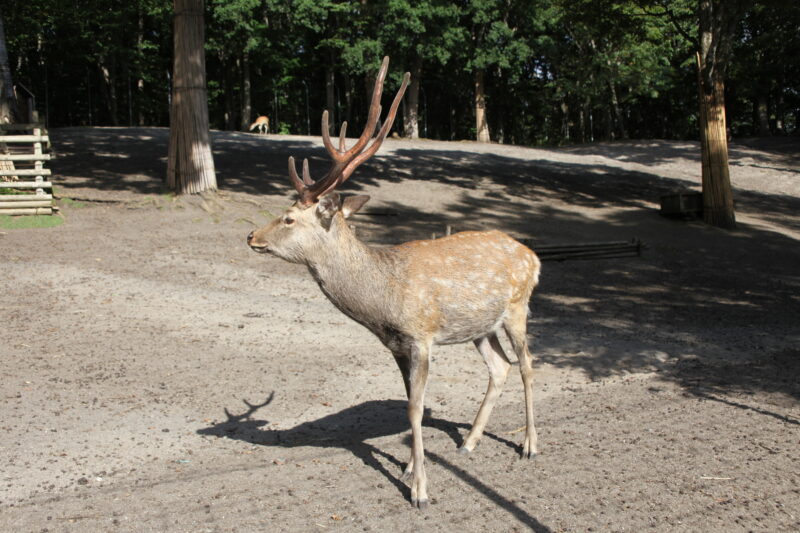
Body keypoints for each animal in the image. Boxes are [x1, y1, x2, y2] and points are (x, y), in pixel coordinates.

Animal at [247, 56, 540, 510]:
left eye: (289, 218)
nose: (251, 236)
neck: (383, 302)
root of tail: (534, 256)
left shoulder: (420, 337)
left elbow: (416, 410)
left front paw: (419, 490)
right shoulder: (397, 346)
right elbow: (409, 405)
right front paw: (409, 467)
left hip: (517, 307)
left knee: (526, 364)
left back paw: (529, 445)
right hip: (480, 326)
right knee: (500, 367)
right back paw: (468, 442)